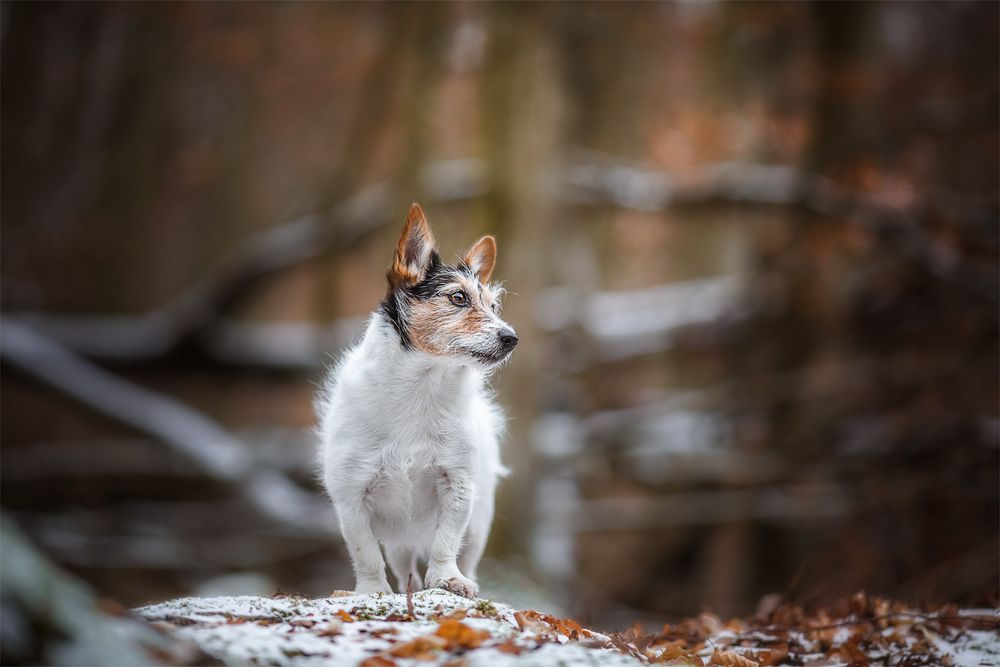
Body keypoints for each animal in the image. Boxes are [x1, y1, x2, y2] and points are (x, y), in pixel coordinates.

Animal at [318, 204, 520, 600]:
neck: (423, 386)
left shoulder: (458, 486)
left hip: (479, 523)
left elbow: (446, 542)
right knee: (403, 569)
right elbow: (365, 552)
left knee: (465, 554)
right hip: (399, 541)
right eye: (458, 298)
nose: (511, 337)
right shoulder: (351, 495)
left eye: (493, 306)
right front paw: (371, 590)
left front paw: (445, 578)